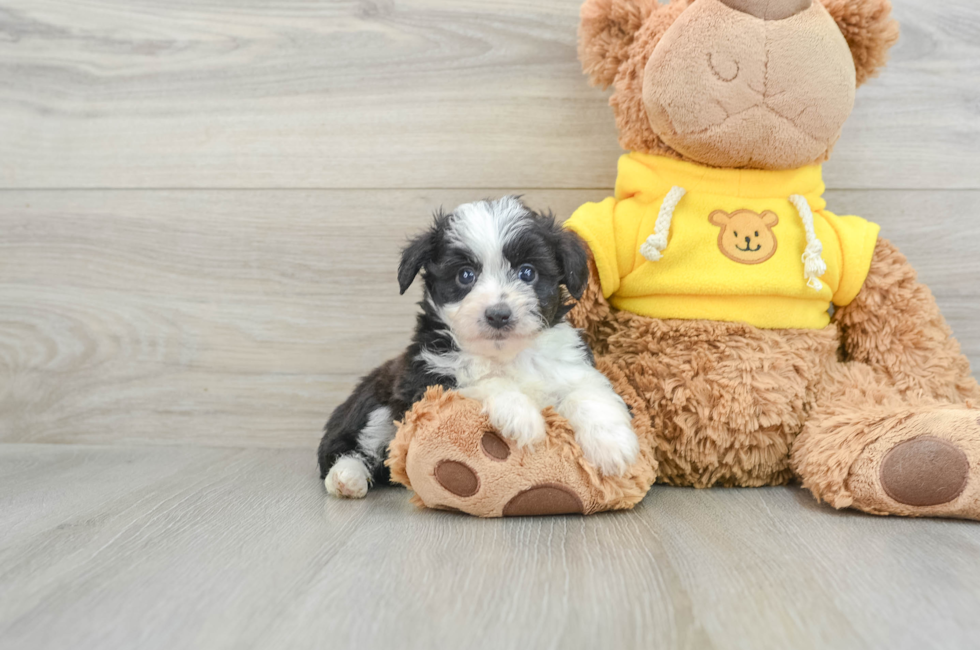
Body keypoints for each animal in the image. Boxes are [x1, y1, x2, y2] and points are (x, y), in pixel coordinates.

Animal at [318, 196, 640, 496]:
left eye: (527, 272)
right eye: (465, 275)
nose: (498, 314)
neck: (506, 354)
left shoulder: (570, 366)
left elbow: (588, 392)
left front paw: (612, 445)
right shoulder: (426, 383)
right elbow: (481, 381)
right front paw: (521, 415)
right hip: (374, 408)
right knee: (349, 448)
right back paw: (346, 478)